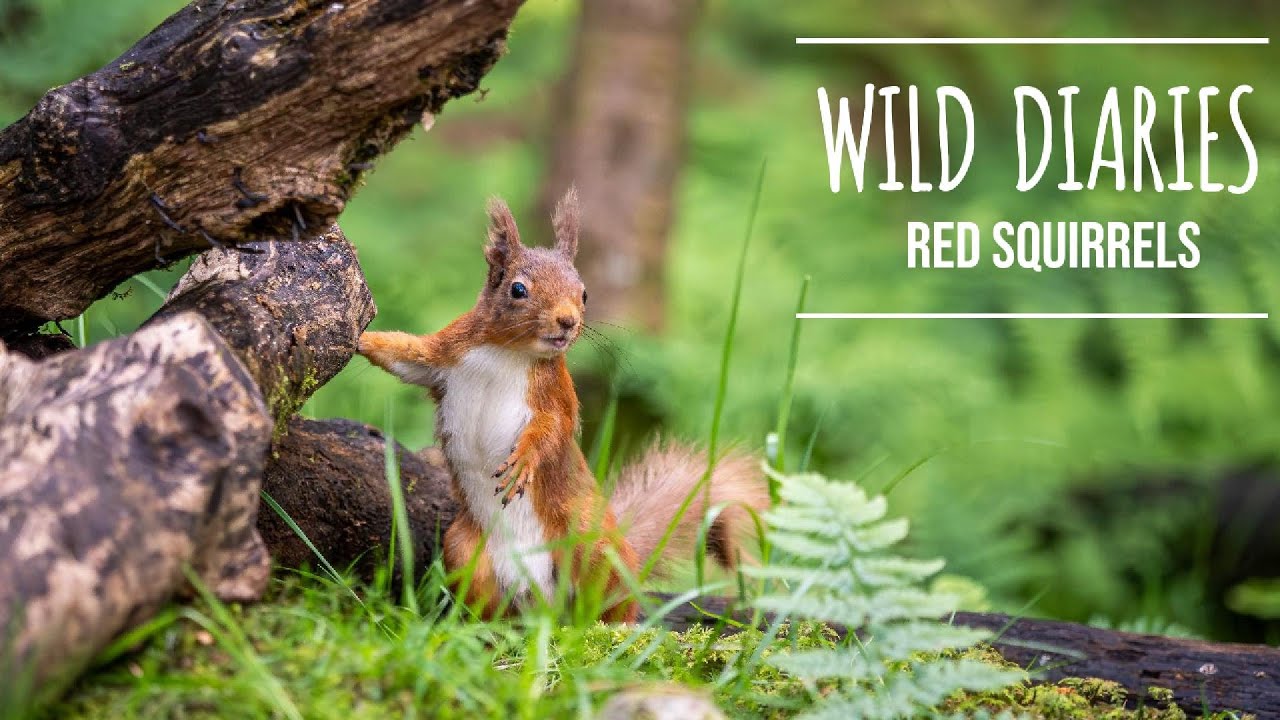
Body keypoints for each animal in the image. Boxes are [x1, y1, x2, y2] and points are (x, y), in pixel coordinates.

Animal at [357, 188, 768, 622]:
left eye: (584, 293)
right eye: (518, 289)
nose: (568, 321)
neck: (508, 351)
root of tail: (543, 605)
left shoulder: (556, 394)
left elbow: (553, 427)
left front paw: (524, 458)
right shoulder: (445, 354)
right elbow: (405, 354)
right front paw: (360, 339)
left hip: (590, 541)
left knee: (609, 603)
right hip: (463, 551)